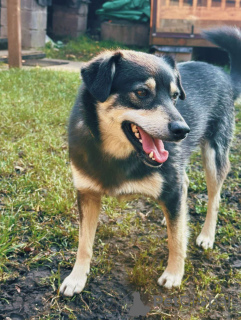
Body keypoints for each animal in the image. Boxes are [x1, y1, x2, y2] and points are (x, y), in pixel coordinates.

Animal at [59, 27, 240, 298]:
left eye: (175, 97)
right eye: (142, 92)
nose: (183, 130)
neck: (116, 154)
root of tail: (224, 75)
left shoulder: (172, 185)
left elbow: (176, 240)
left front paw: (174, 274)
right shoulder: (87, 193)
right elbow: (84, 242)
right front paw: (77, 277)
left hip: (214, 155)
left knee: (214, 198)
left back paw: (206, 235)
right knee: (185, 187)